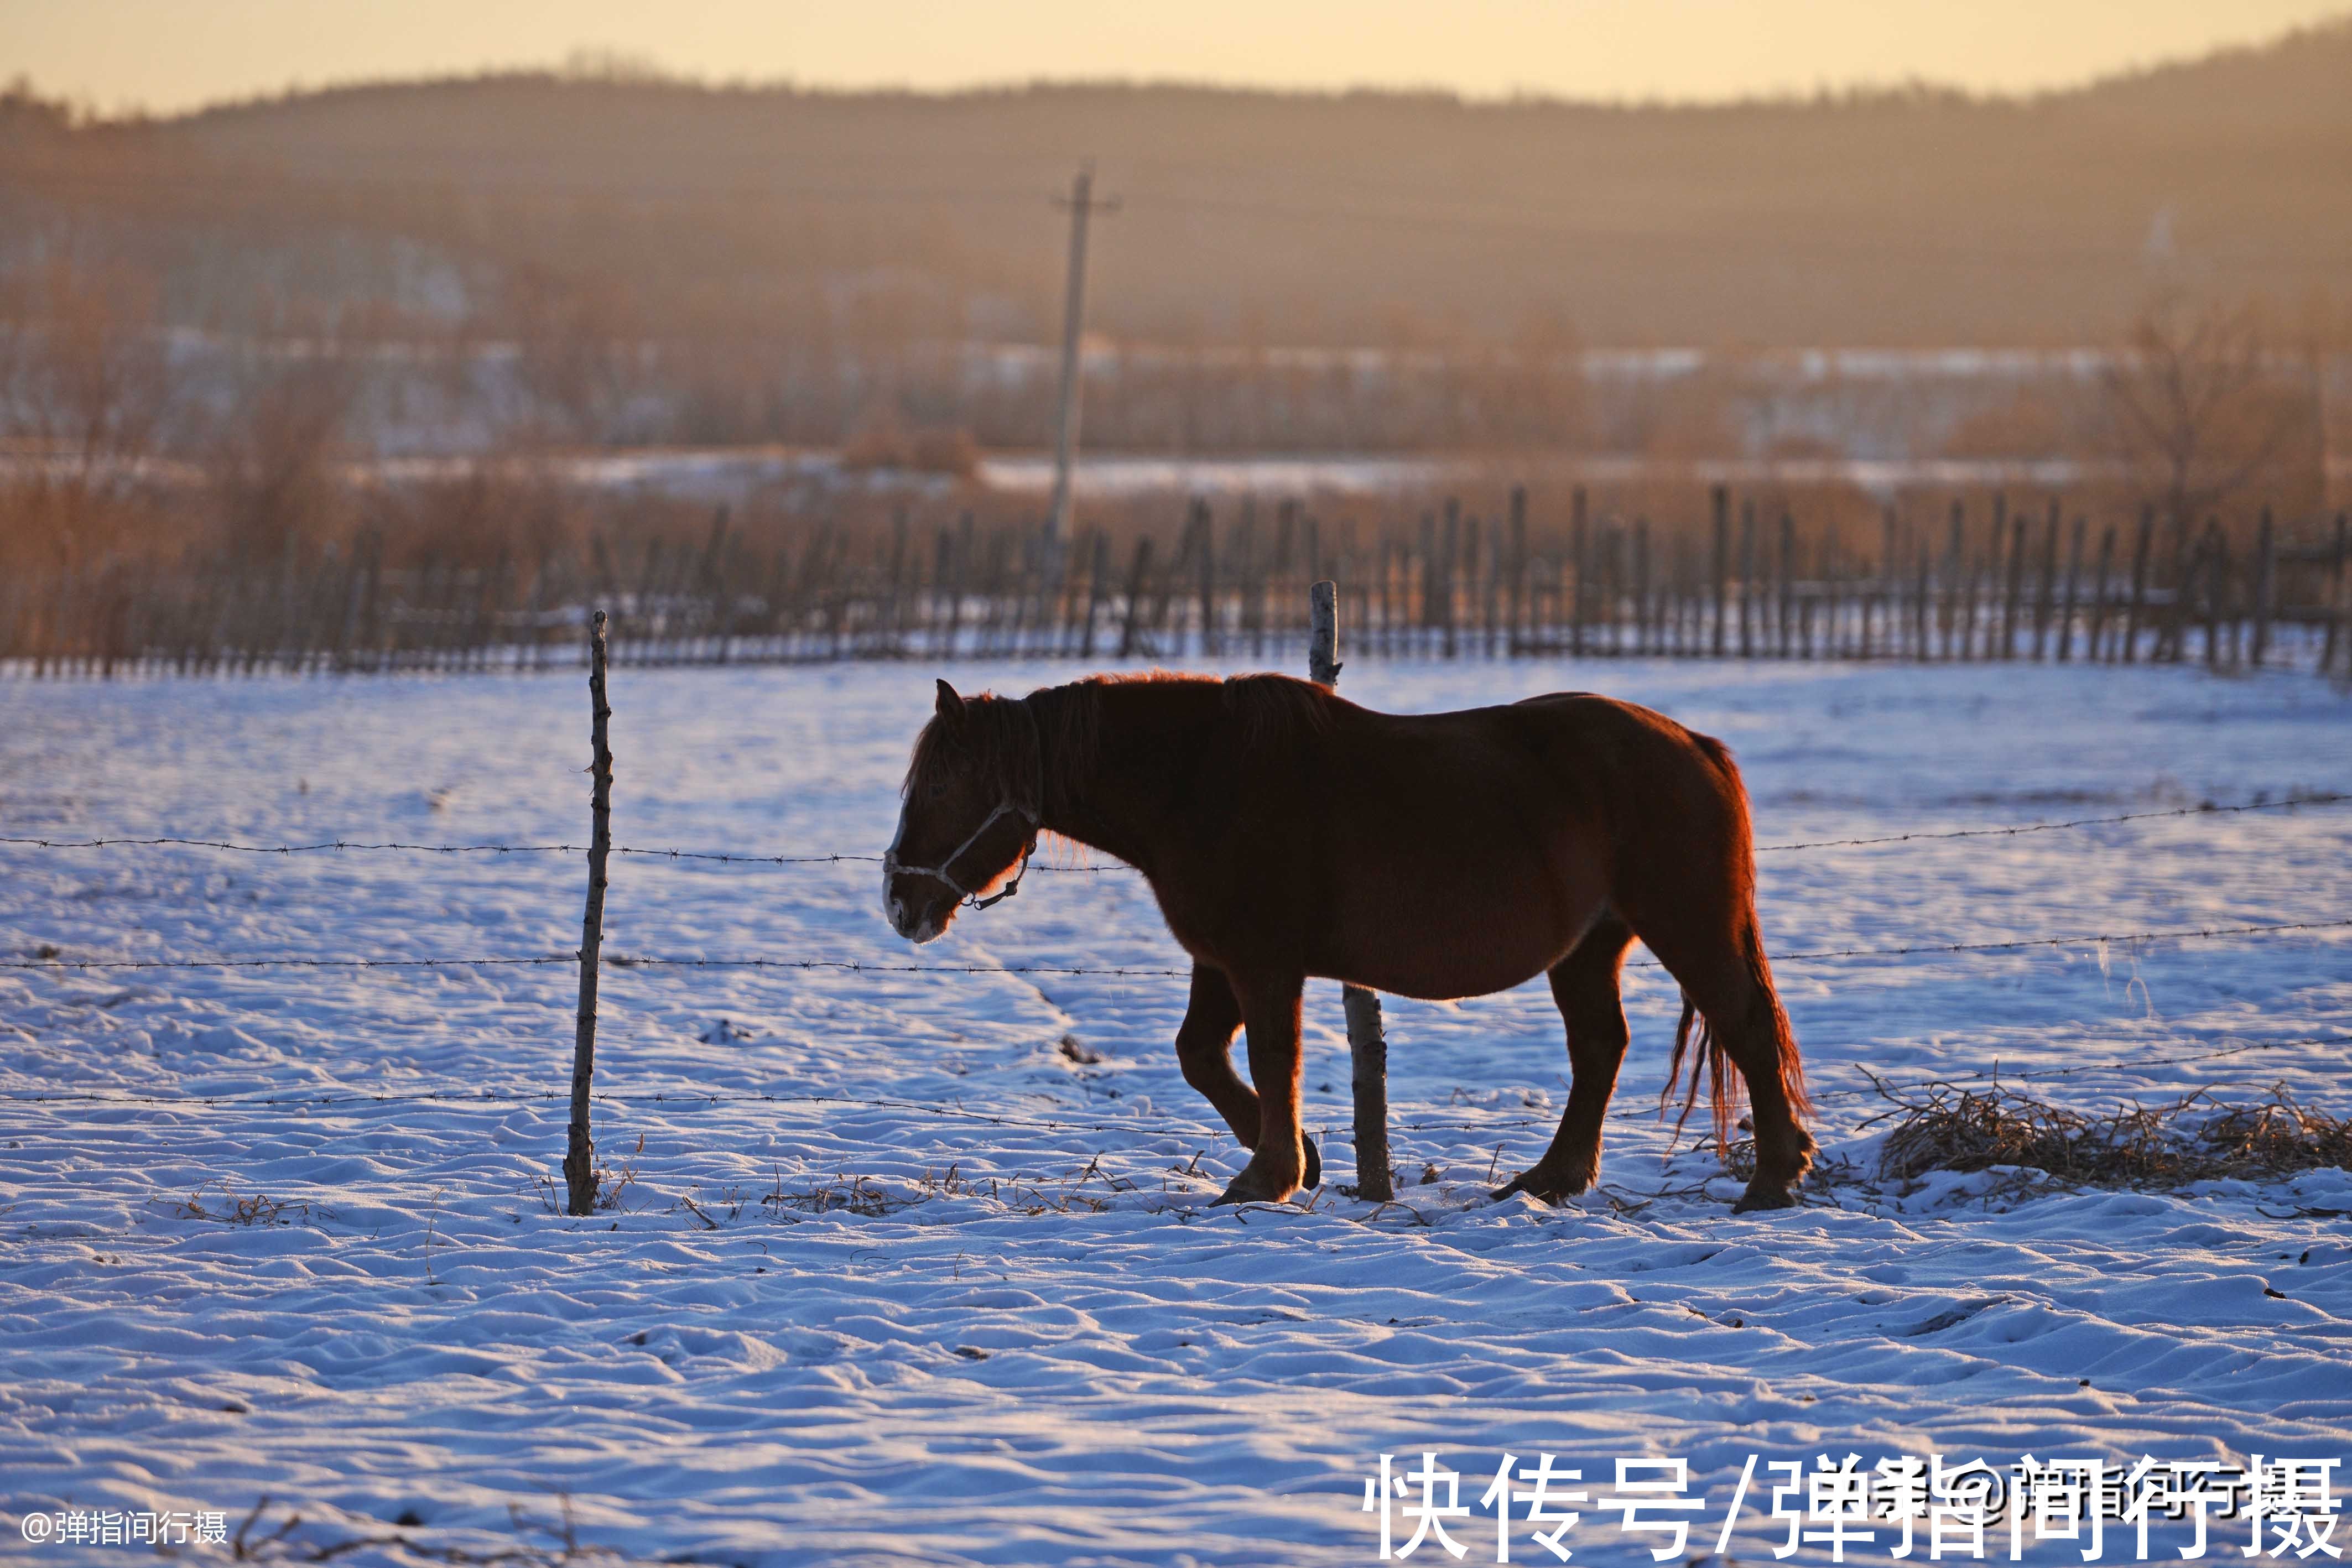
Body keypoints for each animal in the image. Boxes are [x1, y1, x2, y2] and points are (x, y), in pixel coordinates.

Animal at [884, 677, 1815, 1213]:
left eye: (940, 784)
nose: (899, 899)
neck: (1200, 777)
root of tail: (1696, 746)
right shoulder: (1219, 959)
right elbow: (1200, 1054)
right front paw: (1302, 1156)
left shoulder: (1263, 963)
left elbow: (1272, 1057)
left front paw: (1269, 1173)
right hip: (1591, 946)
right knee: (1600, 1047)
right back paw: (1550, 1180)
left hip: (1685, 923)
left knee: (1742, 1027)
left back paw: (1773, 1178)